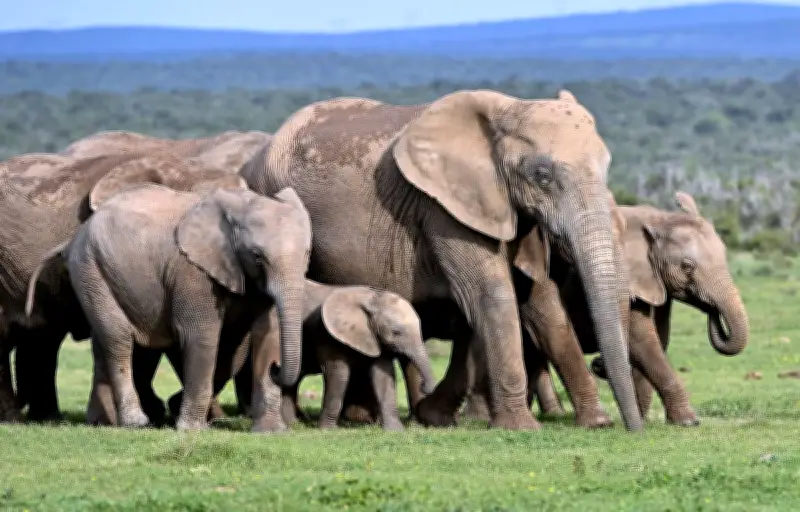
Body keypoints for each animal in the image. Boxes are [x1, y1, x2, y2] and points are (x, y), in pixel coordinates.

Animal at [25, 183, 312, 431]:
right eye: (257, 256)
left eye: (308, 253)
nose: (276, 368)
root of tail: (74, 237)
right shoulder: (192, 272)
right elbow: (202, 336)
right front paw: (190, 429)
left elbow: (266, 335)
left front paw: (271, 432)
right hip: (90, 268)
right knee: (117, 337)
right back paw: (135, 422)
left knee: (103, 342)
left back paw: (102, 422)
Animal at [239, 88, 643, 431]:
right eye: (542, 176)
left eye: (607, 167)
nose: (635, 429)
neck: (509, 109)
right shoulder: (444, 209)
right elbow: (492, 296)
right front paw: (520, 427)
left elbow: (543, 305)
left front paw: (596, 423)